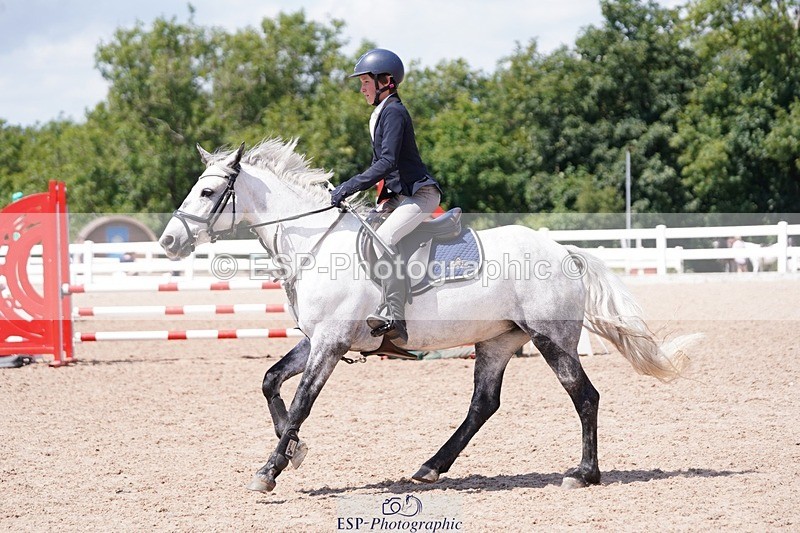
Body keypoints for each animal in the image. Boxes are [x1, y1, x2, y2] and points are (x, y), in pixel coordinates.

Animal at [158, 139, 700, 493]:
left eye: (207, 193)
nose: (168, 241)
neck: (314, 246)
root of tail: (564, 250)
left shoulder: (330, 343)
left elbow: (301, 403)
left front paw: (270, 470)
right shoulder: (316, 340)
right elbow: (272, 383)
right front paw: (294, 453)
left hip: (552, 339)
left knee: (584, 396)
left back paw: (583, 474)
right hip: (498, 340)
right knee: (484, 404)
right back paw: (431, 467)